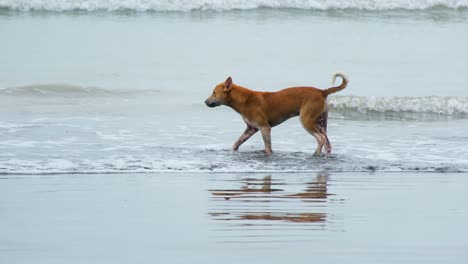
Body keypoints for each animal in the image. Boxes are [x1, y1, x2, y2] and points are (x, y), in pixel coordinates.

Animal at [205, 73, 348, 156]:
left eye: (214, 92)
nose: (205, 101)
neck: (245, 100)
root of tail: (322, 92)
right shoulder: (251, 129)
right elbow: (236, 143)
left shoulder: (264, 128)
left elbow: (268, 147)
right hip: (321, 123)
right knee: (327, 143)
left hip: (307, 121)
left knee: (320, 139)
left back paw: (315, 154)